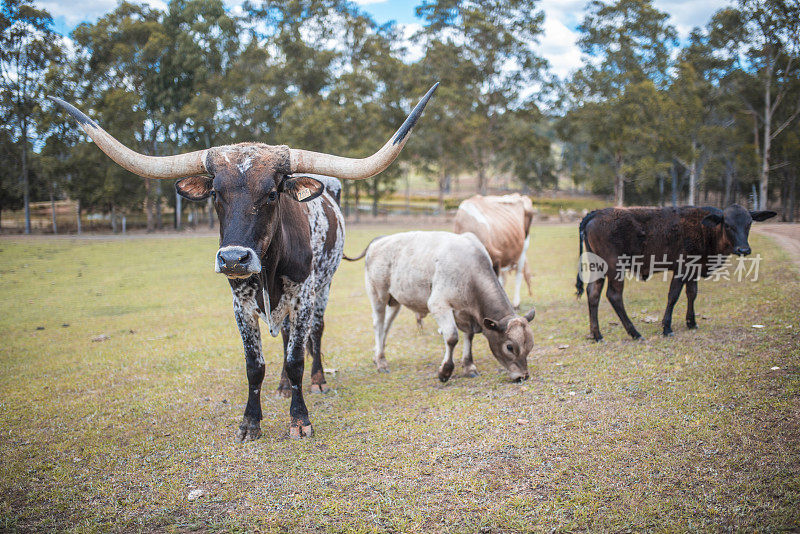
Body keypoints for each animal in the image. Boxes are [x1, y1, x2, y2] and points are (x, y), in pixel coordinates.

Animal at [50, 84, 438, 442]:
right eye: (215, 194)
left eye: (272, 193)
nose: (233, 258)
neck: (268, 270)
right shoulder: (240, 304)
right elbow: (255, 365)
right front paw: (251, 421)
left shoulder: (303, 296)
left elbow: (296, 358)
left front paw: (300, 419)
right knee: (286, 337)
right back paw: (281, 386)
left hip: (323, 287)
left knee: (314, 332)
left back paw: (318, 380)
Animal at [354, 232, 536, 384]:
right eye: (510, 347)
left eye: (530, 347)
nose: (523, 376)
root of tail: (379, 240)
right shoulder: (438, 305)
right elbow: (452, 338)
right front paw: (445, 372)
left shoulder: (466, 315)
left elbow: (469, 337)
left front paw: (469, 366)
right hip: (378, 294)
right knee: (378, 325)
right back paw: (381, 362)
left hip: (395, 301)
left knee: (386, 326)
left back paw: (377, 356)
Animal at [576, 205, 776, 344]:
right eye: (728, 225)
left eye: (749, 223)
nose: (744, 249)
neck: (705, 229)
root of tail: (595, 213)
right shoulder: (681, 268)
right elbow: (673, 295)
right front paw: (667, 328)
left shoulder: (693, 269)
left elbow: (692, 293)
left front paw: (691, 322)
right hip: (615, 266)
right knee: (614, 295)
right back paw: (635, 333)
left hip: (598, 266)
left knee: (593, 293)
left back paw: (597, 335)